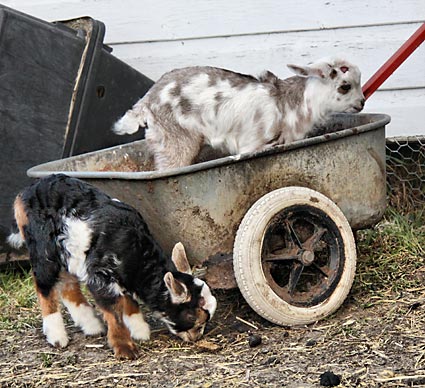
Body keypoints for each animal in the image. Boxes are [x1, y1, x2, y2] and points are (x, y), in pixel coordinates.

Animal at [112, 56, 364, 170]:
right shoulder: (250, 145)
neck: (286, 102)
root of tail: (147, 101)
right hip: (175, 144)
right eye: (345, 86)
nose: (361, 103)